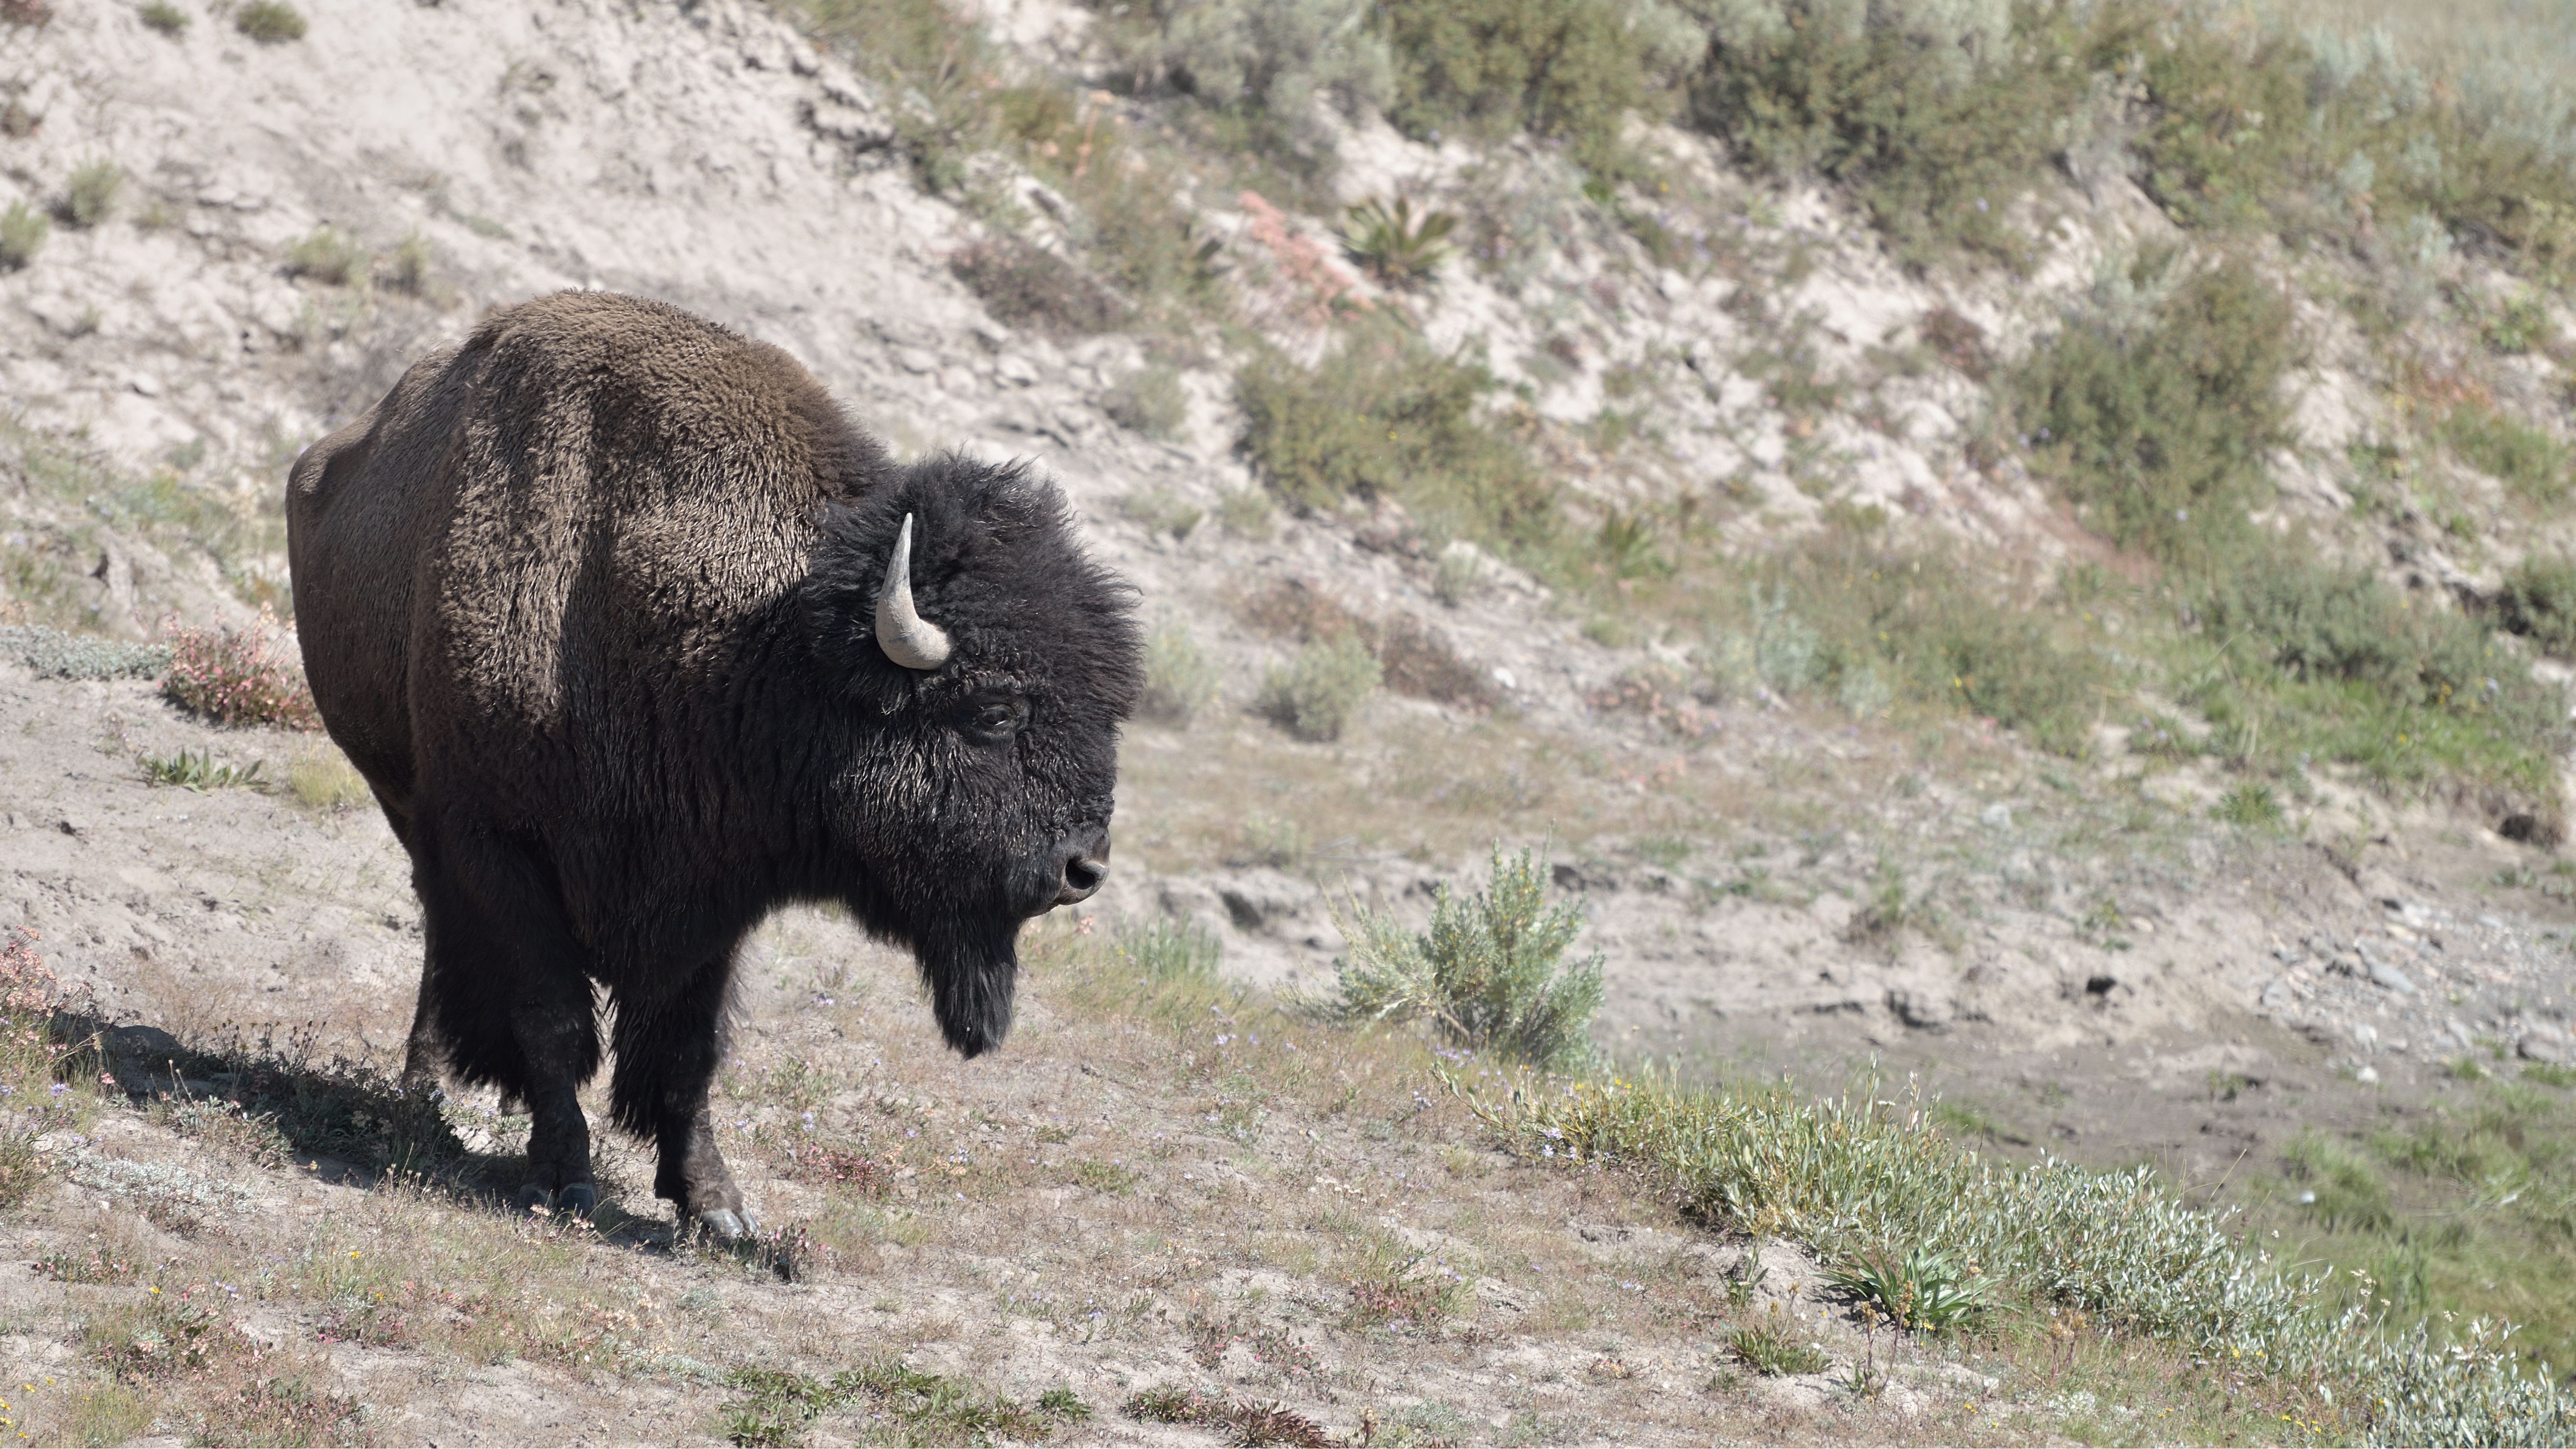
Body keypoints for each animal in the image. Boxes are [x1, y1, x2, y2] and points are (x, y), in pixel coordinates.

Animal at [287, 290, 1144, 1227]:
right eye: (993, 712)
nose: (1082, 869)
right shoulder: (500, 849)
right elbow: (553, 1018)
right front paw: (565, 1177)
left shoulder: (714, 890)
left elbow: (688, 1049)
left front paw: (716, 1207)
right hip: (413, 810)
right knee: (444, 940)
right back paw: (431, 1088)